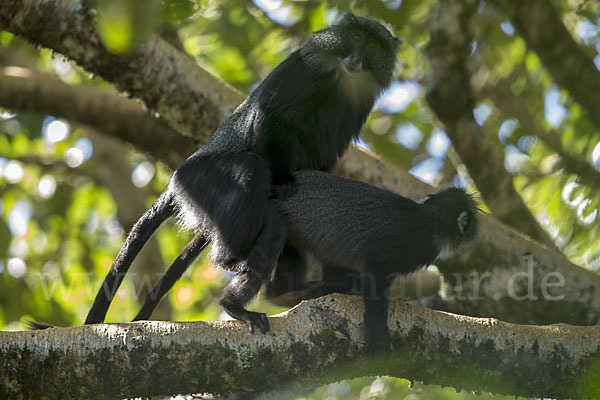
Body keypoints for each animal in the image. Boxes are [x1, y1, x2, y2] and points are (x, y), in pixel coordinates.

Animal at [79, 14, 398, 332]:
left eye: (372, 45)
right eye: (356, 37)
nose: (355, 59)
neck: (341, 81)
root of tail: (175, 183)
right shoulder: (302, 73)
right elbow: (268, 119)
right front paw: (282, 180)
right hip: (200, 179)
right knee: (250, 169)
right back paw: (232, 259)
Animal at [125, 170, 478, 354]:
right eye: (470, 222)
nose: (475, 231)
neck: (431, 218)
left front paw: (339, 286)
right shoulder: (412, 247)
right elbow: (375, 274)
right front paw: (378, 339)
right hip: (263, 217)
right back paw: (235, 306)